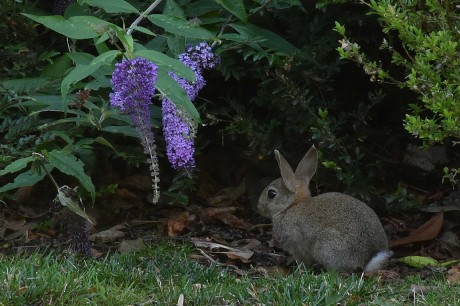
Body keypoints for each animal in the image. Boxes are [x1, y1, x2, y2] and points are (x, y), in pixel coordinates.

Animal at [258, 145, 392, 272]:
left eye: (271, 194)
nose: (259, 207)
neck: (291, 205)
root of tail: (368, 259)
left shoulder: (298, 247)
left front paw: (299, 271)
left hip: (326, 246)